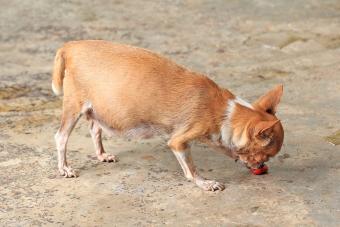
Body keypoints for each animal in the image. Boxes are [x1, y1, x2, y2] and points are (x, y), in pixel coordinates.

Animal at [51, 40, 284, 191]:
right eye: (265, 156)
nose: (261, 167)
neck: (225, 112)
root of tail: (70, 46)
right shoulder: (178, 142)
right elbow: (191, 169)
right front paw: (205, 183)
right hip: (74, 107)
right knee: (61, 137)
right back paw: (64, 168)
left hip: (100, 107)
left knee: (94, 128)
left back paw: (101, 154)